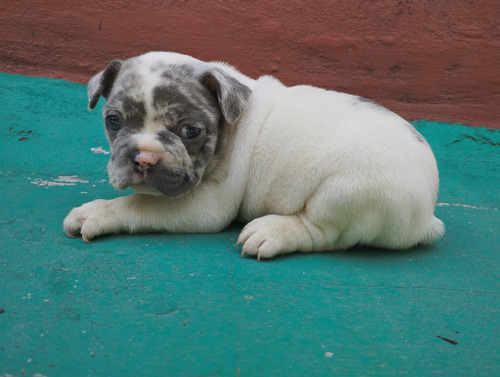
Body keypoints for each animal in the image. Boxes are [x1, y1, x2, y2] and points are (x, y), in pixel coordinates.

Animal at [63, 51, 446, 258]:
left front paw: (96, 212)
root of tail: (426, 216)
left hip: (345, 194)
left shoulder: (206, 207)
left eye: (191, 131)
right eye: (113, 122)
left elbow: (139, 203)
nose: (144, 159)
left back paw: (272, 231)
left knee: (323, 233)